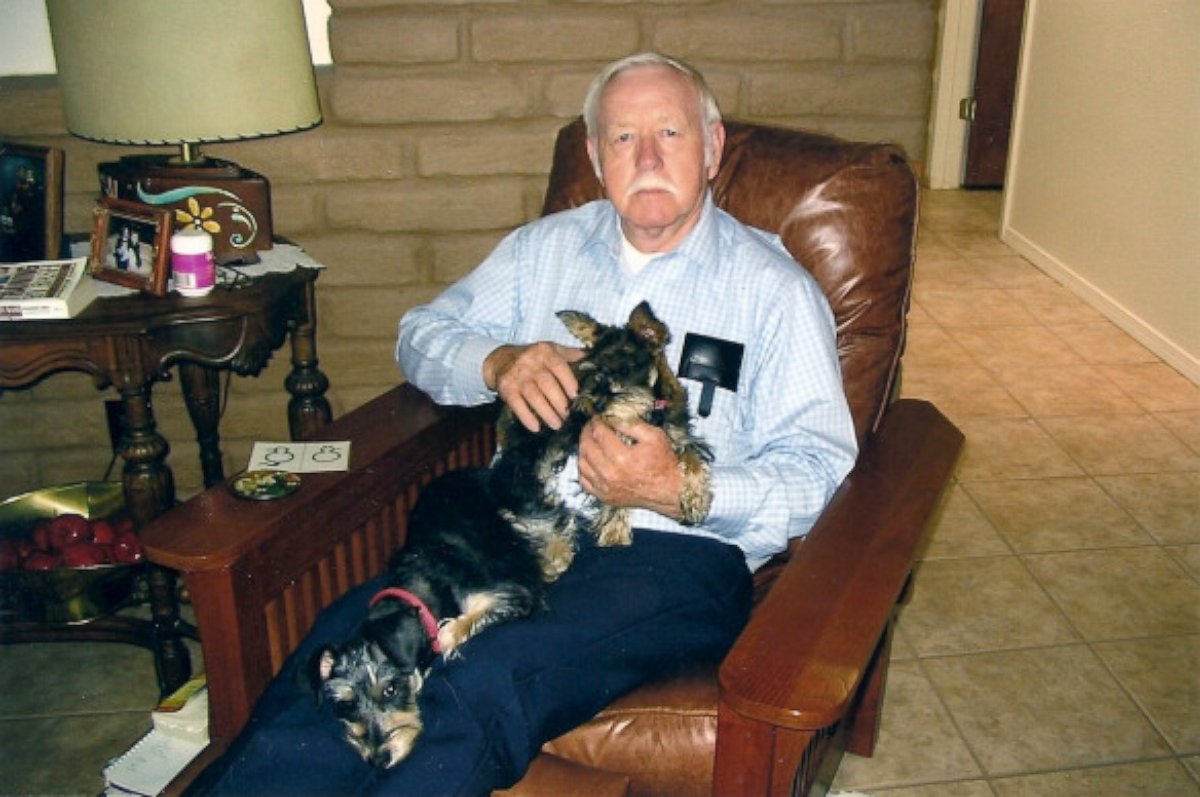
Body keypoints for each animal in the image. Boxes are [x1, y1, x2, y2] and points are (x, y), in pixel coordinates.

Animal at [309, 298, 710, 768]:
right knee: (541, 510)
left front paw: (693, 497)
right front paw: (615, 527)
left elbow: (686, 456)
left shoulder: (668, 432)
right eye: (588, 375)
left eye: (620, 373)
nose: (586, 408)